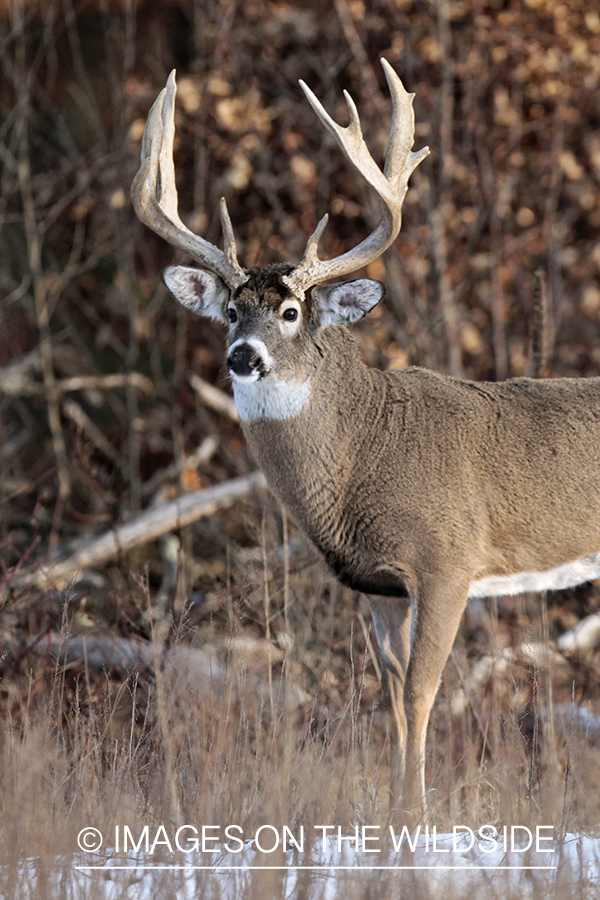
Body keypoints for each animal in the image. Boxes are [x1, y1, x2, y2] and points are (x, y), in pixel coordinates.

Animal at [131, 59, 600, 812]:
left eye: (292, 311)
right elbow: (391, 698)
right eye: (230, 309)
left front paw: (418, 814)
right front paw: (395, 808)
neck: (361, 457)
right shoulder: (376, 586)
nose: (242, 357)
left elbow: (422, 692)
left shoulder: (448, 560)